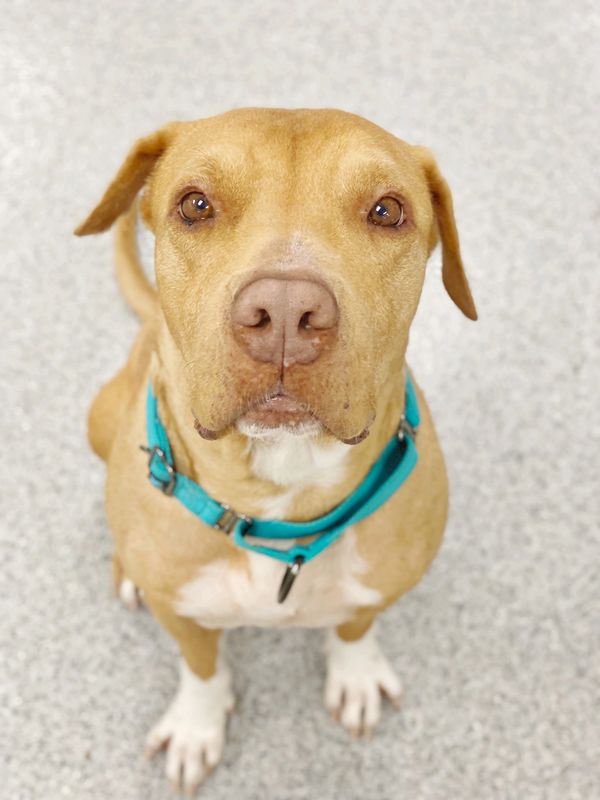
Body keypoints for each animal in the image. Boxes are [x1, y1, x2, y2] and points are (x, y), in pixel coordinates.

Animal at [76, 109, 478, 796]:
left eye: (387, 210)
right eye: (196, 204)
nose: (288, 312)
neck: (282, 491)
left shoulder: (383, 584)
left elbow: (356, 624)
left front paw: (354, 673)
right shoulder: (183, 617)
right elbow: (200, 664)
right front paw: (197, 725)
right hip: (100, 419)